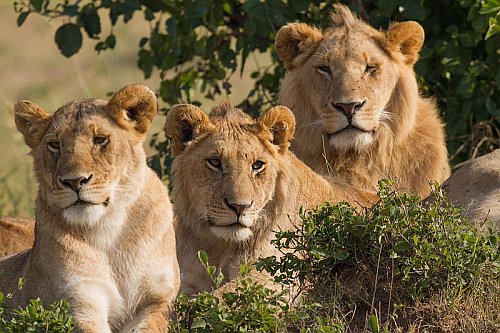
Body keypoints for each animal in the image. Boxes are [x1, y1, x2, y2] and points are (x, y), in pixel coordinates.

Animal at [0, 84, 180, 330]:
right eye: (54, 145)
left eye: (100, 139)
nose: (74, 181)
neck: (109, 231)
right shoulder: (79, 300)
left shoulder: (157, 300)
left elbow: (149, 325)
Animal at [164, 100, 376, 294]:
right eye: (215, 162)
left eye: (257, 165)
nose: (240, 207)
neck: (220, 247)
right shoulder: (188, 278)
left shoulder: (277, 275)